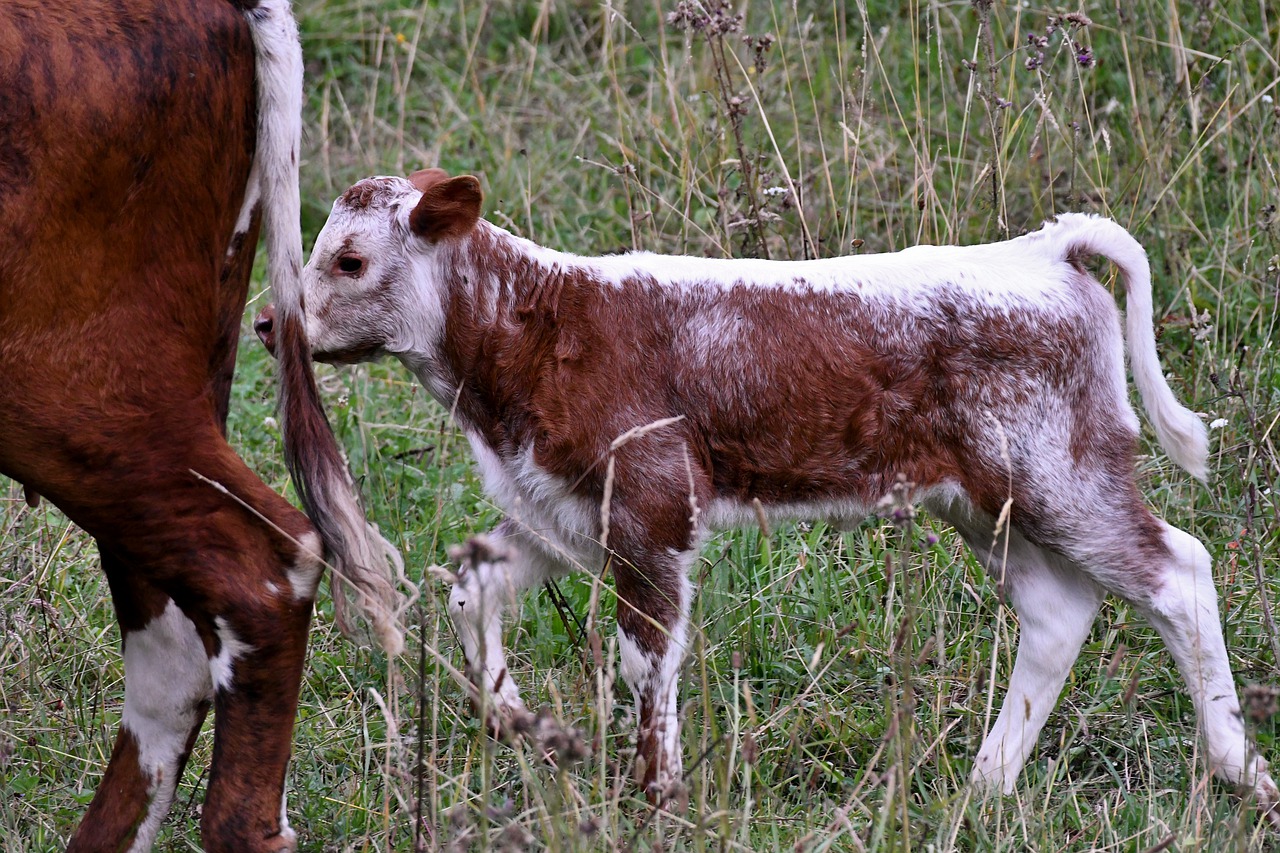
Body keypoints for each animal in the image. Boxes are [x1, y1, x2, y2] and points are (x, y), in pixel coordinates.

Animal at [262, 167, 1280, 819]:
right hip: (984, 499)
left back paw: (1238, 770)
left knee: (1178, 572)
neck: (530, 334)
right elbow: (470, 588)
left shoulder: (653, 501)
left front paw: (657, 794)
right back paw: (985, 789)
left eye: (349, 260)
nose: (272, 322)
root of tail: (1042, 248)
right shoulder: (560, 503)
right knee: (1058, 611)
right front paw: (518, 719)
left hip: (1059, 473)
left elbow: (644, 655)